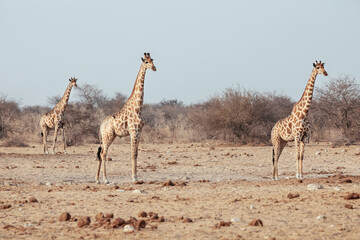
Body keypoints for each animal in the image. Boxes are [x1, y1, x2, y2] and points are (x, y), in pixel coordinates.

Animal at [95, 53, 156, 184]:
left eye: (152, 60)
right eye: (146, 62)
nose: (154, 68)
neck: (138, 108)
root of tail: (101, 126)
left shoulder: (139, 132)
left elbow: (136, 154)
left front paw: (136, 176)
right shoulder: (133, 132)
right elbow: (133, 154)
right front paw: (134, 177)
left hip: (109, 137)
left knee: (100, 153)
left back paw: (97, 179)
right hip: (108, 136)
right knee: (103, 153)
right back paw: (106, 179)